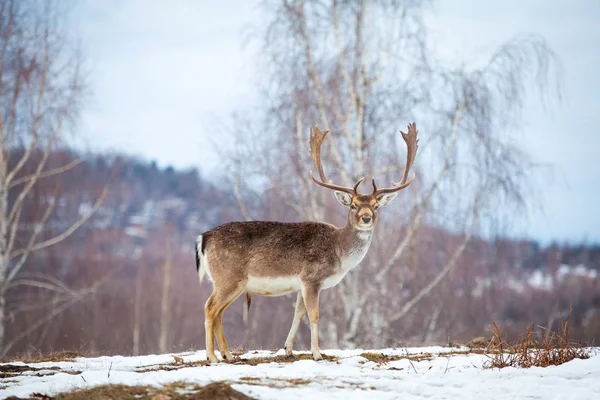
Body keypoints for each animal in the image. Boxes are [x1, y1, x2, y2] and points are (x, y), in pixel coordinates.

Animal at [195, 122, 420, 362]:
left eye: (376, 206)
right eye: (353, 205)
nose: (366, 218)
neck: (339, 254)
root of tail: (204, 237)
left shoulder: (301, 283)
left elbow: (298, 314)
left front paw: (287, 349)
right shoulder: (311, 278)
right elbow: (314, 315)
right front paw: (317, 354)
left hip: (232, 282)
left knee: (219, 311)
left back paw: (228, 355)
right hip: (228, 277)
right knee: (209, 307)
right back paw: (212, 357)